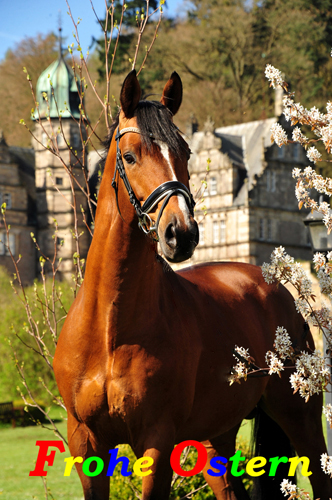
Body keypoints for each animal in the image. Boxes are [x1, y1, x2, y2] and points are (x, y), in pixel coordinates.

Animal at [53, 71, 330, 500]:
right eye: (129, 156)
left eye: (184, 152)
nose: (180, 233)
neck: (109, 325)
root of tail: (275, 286)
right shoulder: (86, 443)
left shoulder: (156, 439)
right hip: (218, 434)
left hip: (300, 417)